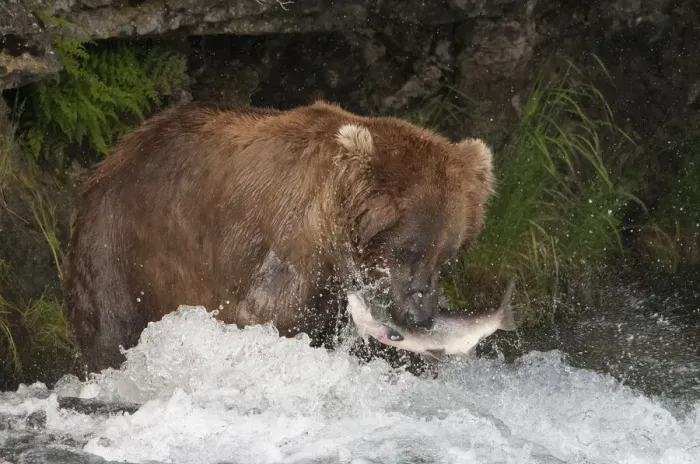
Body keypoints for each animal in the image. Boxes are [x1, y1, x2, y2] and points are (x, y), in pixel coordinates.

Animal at [61, 100, 495, 375]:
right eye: (408, 249)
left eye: (447, 254)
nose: (420, 315)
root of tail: (115, 152)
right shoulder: (293, 243)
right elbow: (264, 317)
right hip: (119, 245)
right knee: (109, 328)